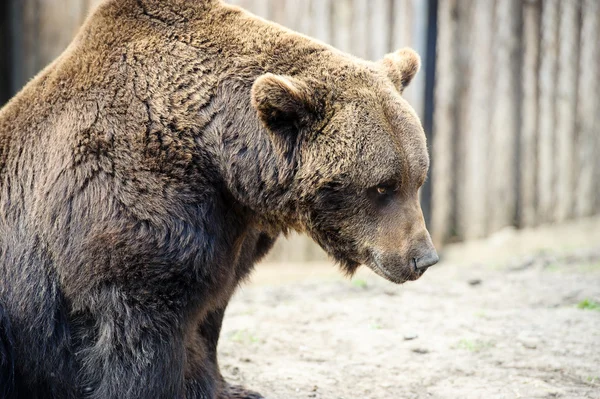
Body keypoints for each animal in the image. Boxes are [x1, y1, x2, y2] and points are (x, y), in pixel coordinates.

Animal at [0, 0, 438, 399]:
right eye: (382, 186)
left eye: (417, 177)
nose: (424, 258)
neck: (219, 162)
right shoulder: (131, 208)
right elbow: (138, 332)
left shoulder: (232, 229)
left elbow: (210, 313)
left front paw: (227, 387)